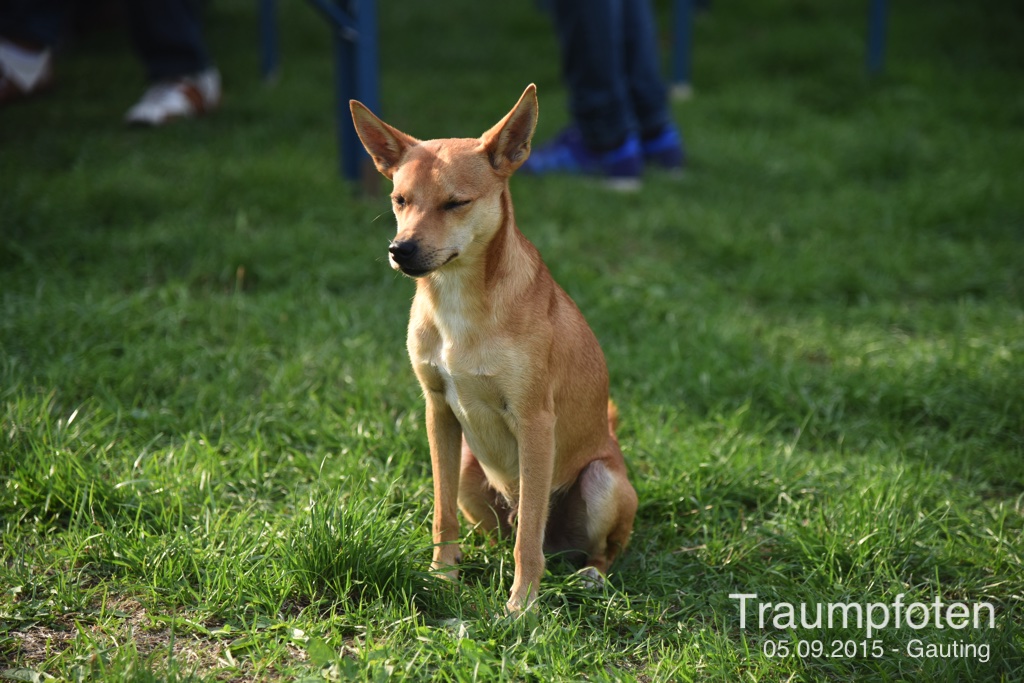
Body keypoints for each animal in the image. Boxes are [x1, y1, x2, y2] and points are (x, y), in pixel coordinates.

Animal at [356, 85, 634, 614]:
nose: (400, 249)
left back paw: (590, 575)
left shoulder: (534, 421)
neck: (457, 302)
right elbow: (442, 513)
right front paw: (442, 577)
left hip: (602, 483)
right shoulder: (438, 411)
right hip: (470, 469)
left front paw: (521, 607)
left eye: (456, 203)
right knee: (501, 532)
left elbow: (528, 539)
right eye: (399, 200)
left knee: (589, 547)